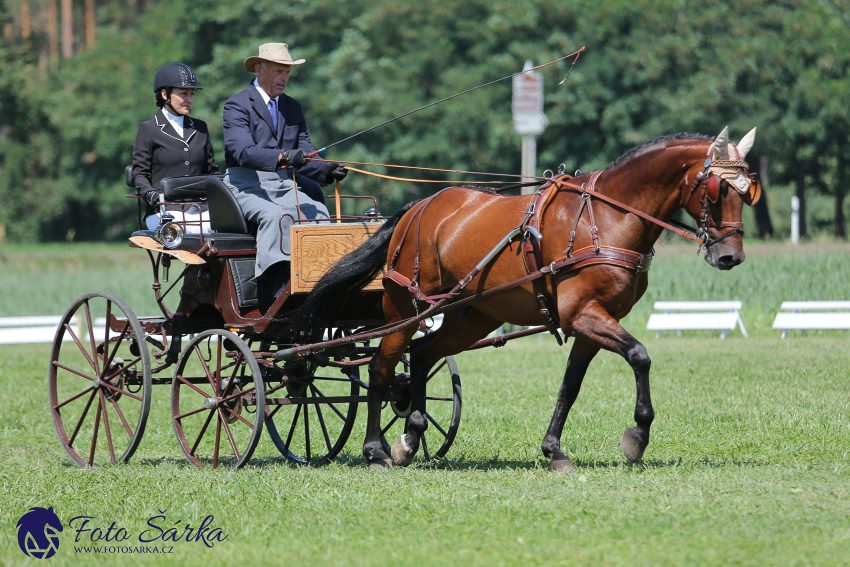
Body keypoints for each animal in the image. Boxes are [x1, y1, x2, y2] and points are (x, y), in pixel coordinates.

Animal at [294, 127, 760, 470]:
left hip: (469, 316)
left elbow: (570, 386)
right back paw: (376, 450)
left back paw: (410, 436)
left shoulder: (590, 322)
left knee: (423, 356)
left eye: (748, 192)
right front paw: (637, 437)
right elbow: (640, 355)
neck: (608, 217)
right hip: (404, 310)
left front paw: (554, 450)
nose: (731, 256)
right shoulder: (582, 314)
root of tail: (417, 208)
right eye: (718, 190)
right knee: (380, 368)